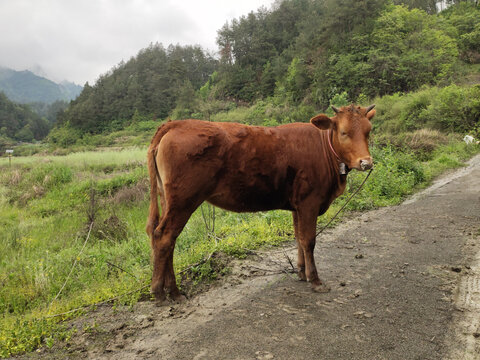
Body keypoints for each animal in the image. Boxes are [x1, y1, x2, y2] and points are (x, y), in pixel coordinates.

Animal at [146, 103, 376, 300]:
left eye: (368, 131)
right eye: (343, 132)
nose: (366, 162)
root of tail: (175, 124)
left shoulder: (297, 205)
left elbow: (299, 238)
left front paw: (301, 272)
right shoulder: (309, 202)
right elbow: (309, 240)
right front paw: (316, 280)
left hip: (169, 200)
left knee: (166, 238)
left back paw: (170, 290)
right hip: (183, 200)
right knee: (164, 237)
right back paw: (164, 292)